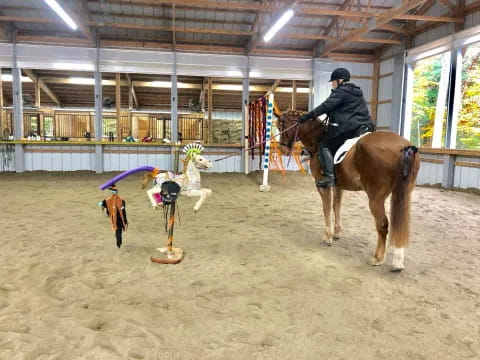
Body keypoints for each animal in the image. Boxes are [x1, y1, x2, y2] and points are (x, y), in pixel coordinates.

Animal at [280, 111, 418, 272]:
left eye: (281, 126)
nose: (283, 149)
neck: (317, 139)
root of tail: (404, 146)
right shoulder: (338, 185)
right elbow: (336, 206)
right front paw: (337, 232)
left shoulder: (322, 184)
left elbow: (326, 208)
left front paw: (328, 236)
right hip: (402, 194)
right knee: (401, 224)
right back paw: (398, 261)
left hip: (376, 198)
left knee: (382, 224)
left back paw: (377, 258)